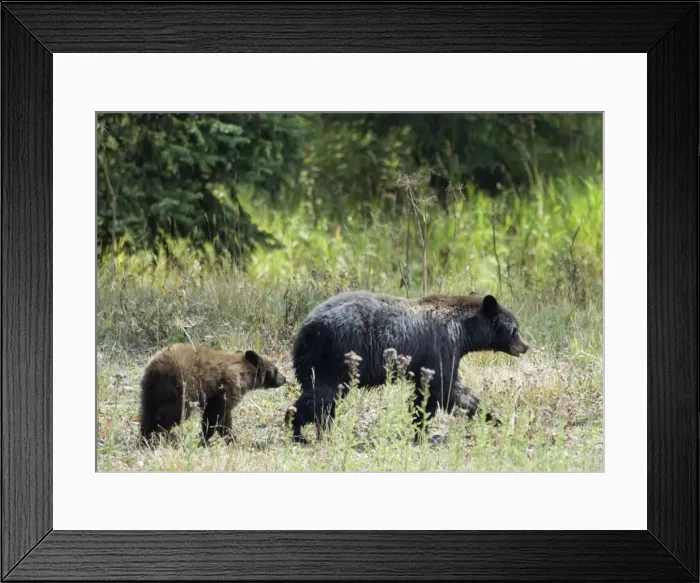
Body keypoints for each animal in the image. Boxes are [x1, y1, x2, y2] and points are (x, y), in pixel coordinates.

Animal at [139, 343, 286, 446]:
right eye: (276, 370)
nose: (284, 379)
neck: (244, 372)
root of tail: (154, 368)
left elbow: (224, 419)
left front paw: (231, 439)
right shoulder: (226, 389)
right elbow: (214, 416)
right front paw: (205, 440)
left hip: (150, 391)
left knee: (147, 413)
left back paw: (145, 439)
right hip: (180, 388)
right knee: (171, 414)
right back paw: (161, 437)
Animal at [286, 291, 529, 442]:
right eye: (515, 328)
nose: (526, 346)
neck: (463, 330)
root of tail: (305, 329)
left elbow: (446, 392)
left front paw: (493, 416)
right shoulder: (441, 347)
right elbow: (443, 389)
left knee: (325, 402)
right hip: (332, 358)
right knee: (320, 396)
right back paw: (298, 431)